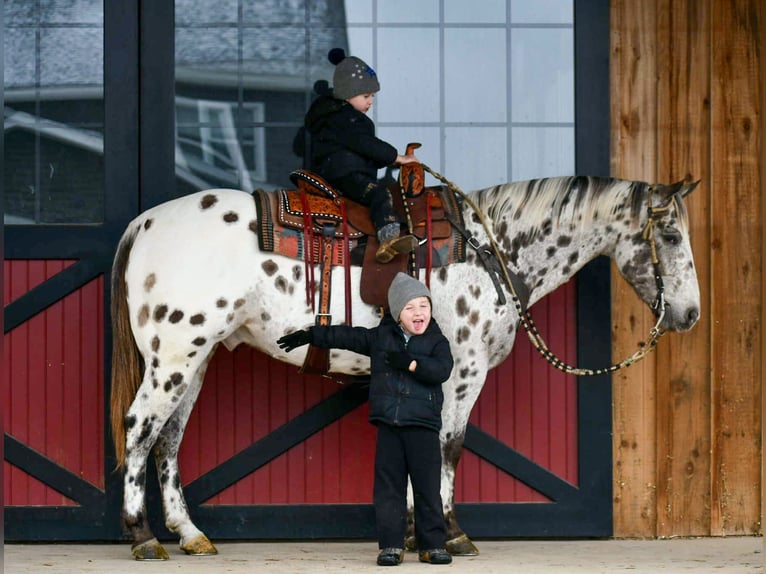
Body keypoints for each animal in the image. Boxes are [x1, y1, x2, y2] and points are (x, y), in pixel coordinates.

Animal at [109, 174, 700, 560]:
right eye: (671, 236)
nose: (690, 315)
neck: (489, 250)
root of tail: (144, 222)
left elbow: (427, 445)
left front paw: (421, 531)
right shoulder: (464, 373)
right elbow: (448, 447)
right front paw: (450, 533)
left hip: (195, 358)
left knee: (167, 439)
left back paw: (188, 534)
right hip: (174, 356)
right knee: (139, 430)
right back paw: (142, 536)